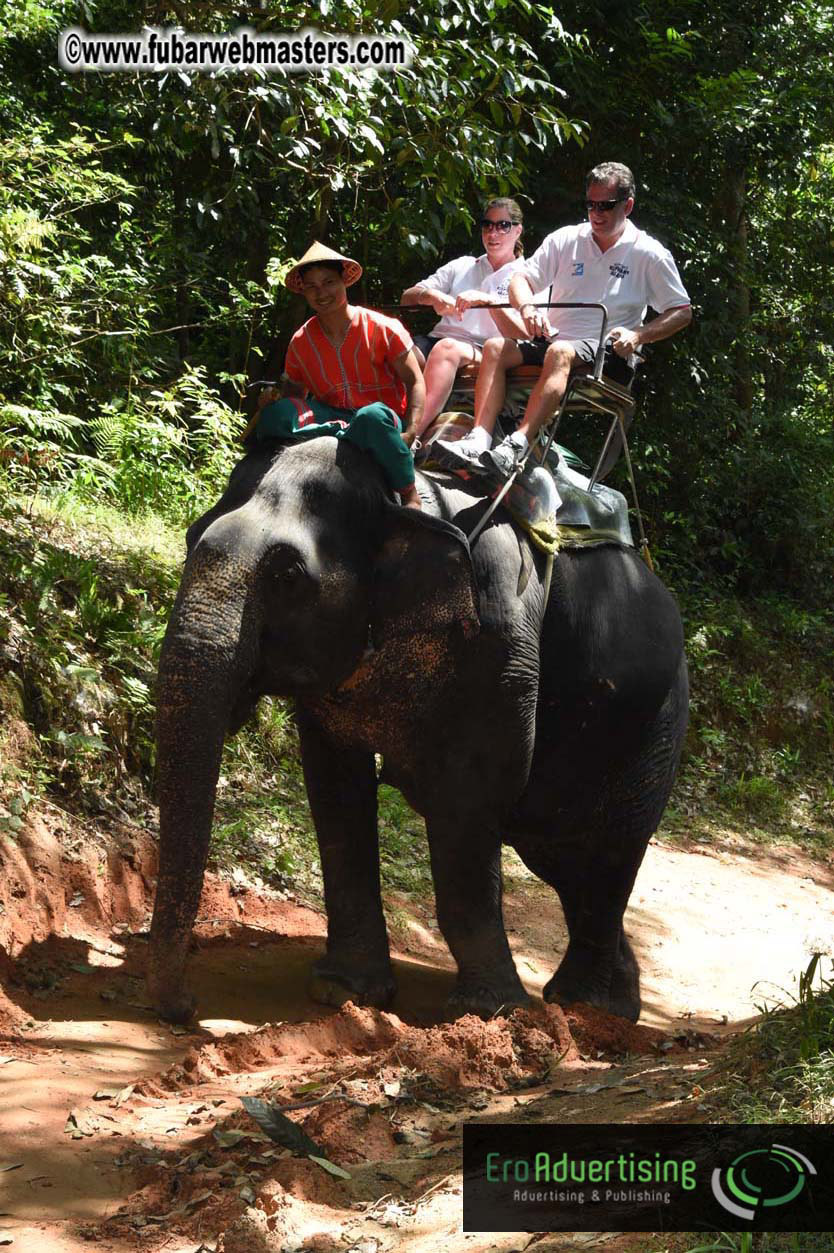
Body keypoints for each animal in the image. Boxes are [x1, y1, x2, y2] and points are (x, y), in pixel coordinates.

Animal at [147, 435, 688, 1025]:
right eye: (190, 539)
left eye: (287, 576)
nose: (183, 1007)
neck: (402, 498)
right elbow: (334, 788)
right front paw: (345, 992)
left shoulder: (499, 646)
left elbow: (470, 797)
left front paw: (486, 1013)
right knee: (563, 858)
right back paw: (613, 1006)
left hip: (657, 725)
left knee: (609, 852)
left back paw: (584, 1009)